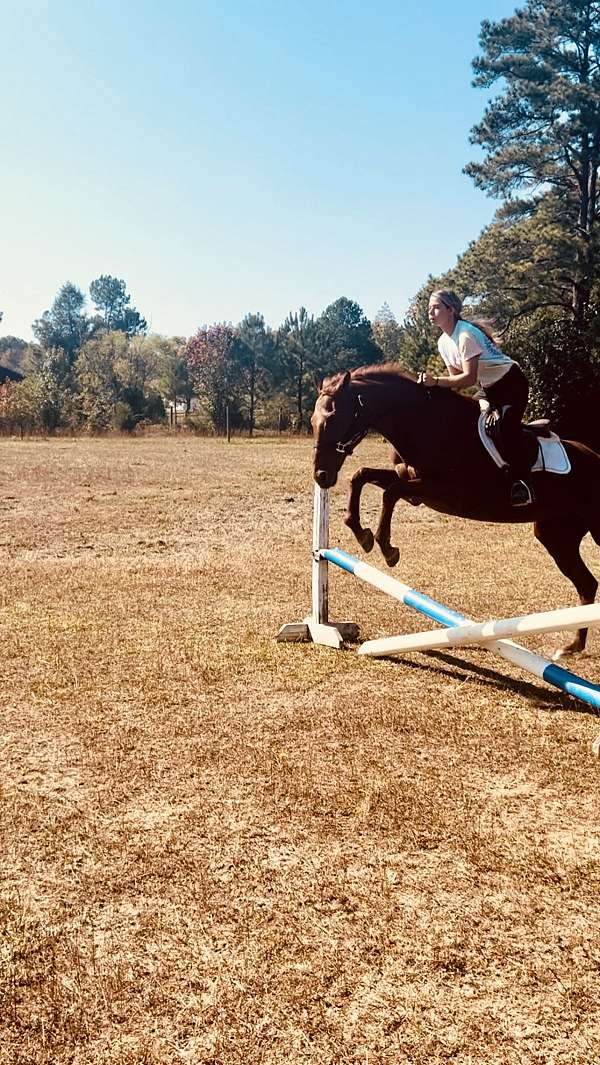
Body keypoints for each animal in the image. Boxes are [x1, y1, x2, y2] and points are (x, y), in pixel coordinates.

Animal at [311, 364, 600, 660]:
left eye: (333, 420)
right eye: (313, 422)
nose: (321, 476)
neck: (423, 423)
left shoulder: (447, 492)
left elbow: (390, 492)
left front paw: (386, 547)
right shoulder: (413, 485)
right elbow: (361, 475)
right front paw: (362, 534)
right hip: (555, 536)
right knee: (586, 584)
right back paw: (571, 647)